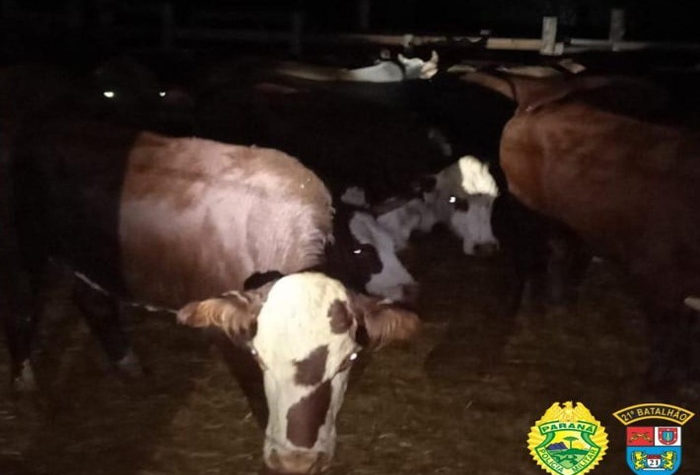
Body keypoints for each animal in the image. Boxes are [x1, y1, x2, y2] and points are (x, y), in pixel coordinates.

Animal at [1, 119, 420, 473]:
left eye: (349, 359)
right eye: (259, 357)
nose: (297, 461)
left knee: (93, 303)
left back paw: (129, 366)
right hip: (26, 249)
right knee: (22, 310)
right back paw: (24, 383)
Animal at [478, 71, 700, 385]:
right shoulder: (656, 276)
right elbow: (664, 333)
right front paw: (656, 380)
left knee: (557, 256)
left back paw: (557, 301)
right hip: (527, 212)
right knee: (531, 258)